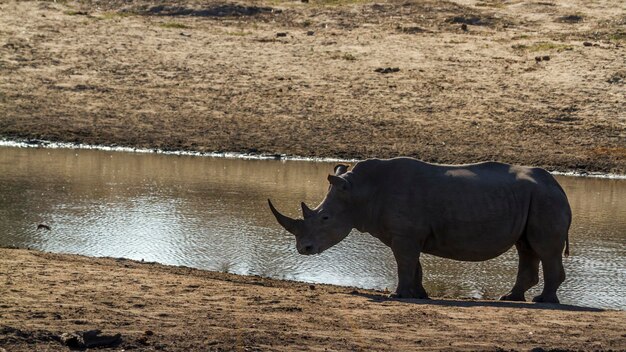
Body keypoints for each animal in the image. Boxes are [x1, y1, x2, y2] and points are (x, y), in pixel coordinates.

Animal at [268, 158, 572, 304]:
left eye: (325, 218)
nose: (303, 249)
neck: (359, 193)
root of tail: (558, 186)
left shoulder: (406, 234)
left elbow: (404, 263)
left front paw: (398, 296)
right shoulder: (407, 235)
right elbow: (414, 265)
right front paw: (418, 295)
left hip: (546, 199)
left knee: (544, 249)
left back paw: (542, 301)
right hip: (534, 198)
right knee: (526, 247)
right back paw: (511, 298)